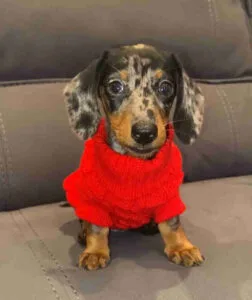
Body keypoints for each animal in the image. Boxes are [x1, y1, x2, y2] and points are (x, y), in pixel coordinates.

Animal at [63, 43, 205, 270]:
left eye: (165, 87)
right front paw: (95, 251)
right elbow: (97, 226)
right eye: (115, 86)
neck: (133, 163)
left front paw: (181, 247)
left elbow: (172, 223)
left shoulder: (169, 196)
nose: (145, 133)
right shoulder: (94, 201)